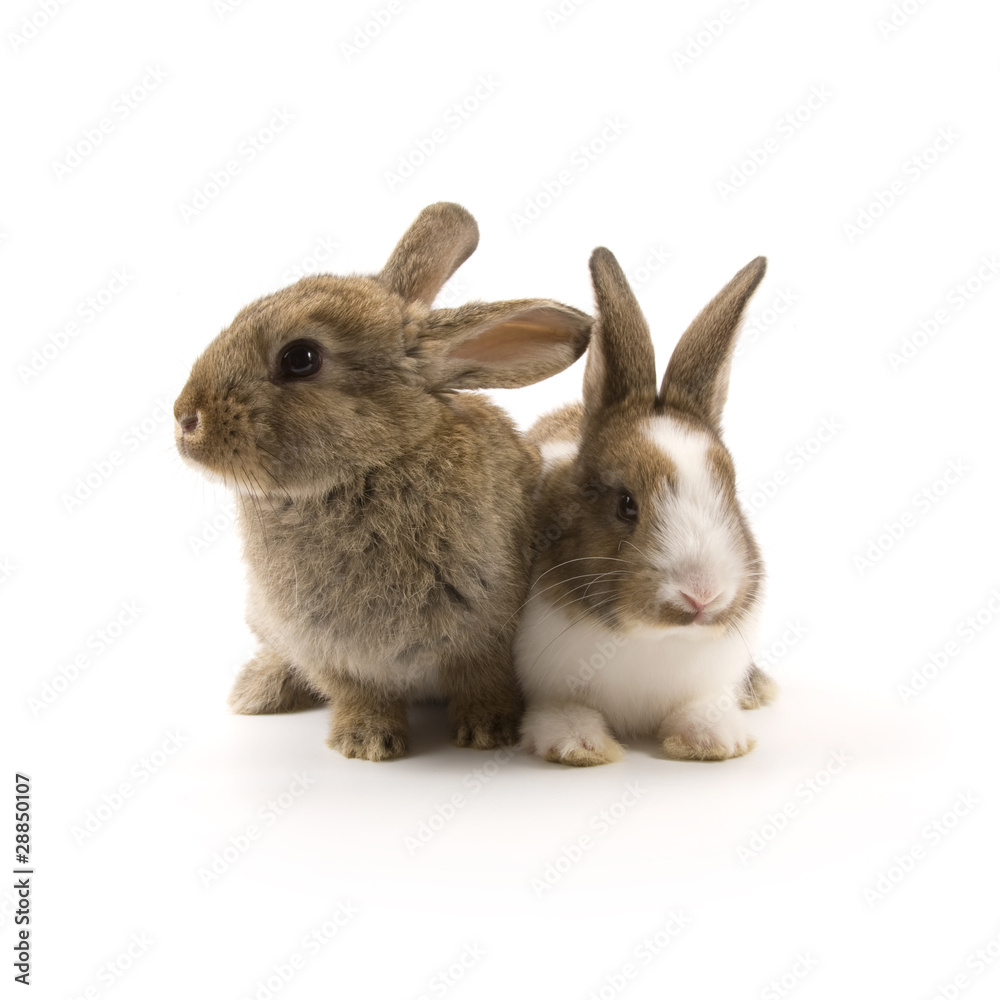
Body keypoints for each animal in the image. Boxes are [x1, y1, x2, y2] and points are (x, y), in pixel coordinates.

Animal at [173, 202, 592, 760]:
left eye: (300, 358)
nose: (185, 418)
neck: (374, 465)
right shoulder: (328, 649)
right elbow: (359, 691)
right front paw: (366, 743)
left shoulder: (488, 632)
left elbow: (483, 680)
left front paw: (486, 732)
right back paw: (257, 691)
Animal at [515, 246, 777, 767]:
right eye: (626, 505)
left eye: (731, 492)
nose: (702, 596)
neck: (653, 637)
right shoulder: (544, 681)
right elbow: (558, 707)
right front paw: (579, 745)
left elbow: (701, 705)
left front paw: (714, 740)